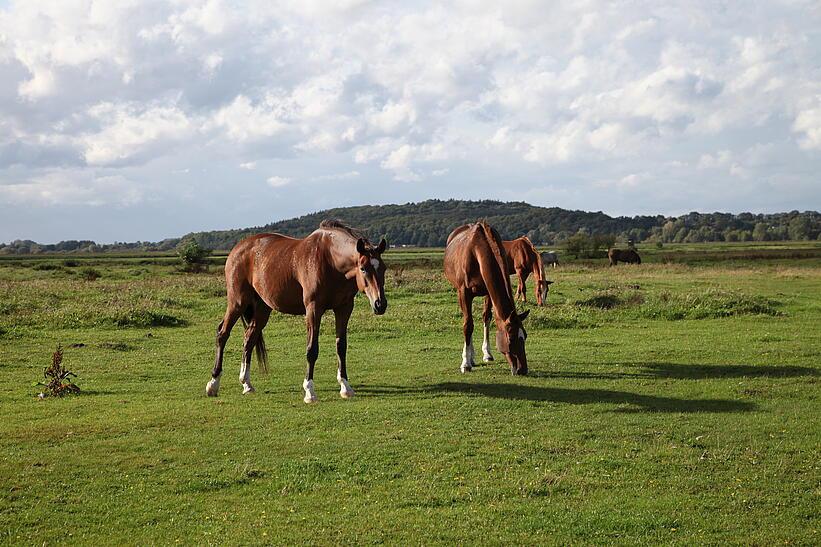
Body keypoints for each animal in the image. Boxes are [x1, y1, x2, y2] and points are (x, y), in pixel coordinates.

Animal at [203, 220, 386, 404]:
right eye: (363, 268)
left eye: (383, 268)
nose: (380, 304)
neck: (330, 260)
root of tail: (238, 248)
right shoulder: (313, 309)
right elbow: (312, 350)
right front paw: (309, 391)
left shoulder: (344, 308)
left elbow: (341, 347)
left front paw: (345, 387)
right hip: (237, 302)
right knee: (222, 333)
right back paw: (213, 383)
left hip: (262, 308)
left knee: (249, 338)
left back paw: (246, 384)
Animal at [446, 223, 528, 376]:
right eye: (511, 337)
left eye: (524, 336)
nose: (523, 369)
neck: (476, 251)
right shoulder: (464, 293)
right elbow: (468, 325)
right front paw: (465, 363)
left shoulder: (489, 292)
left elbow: (487, 318)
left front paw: (487, 354)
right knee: (468, 322)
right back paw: (470, 358)